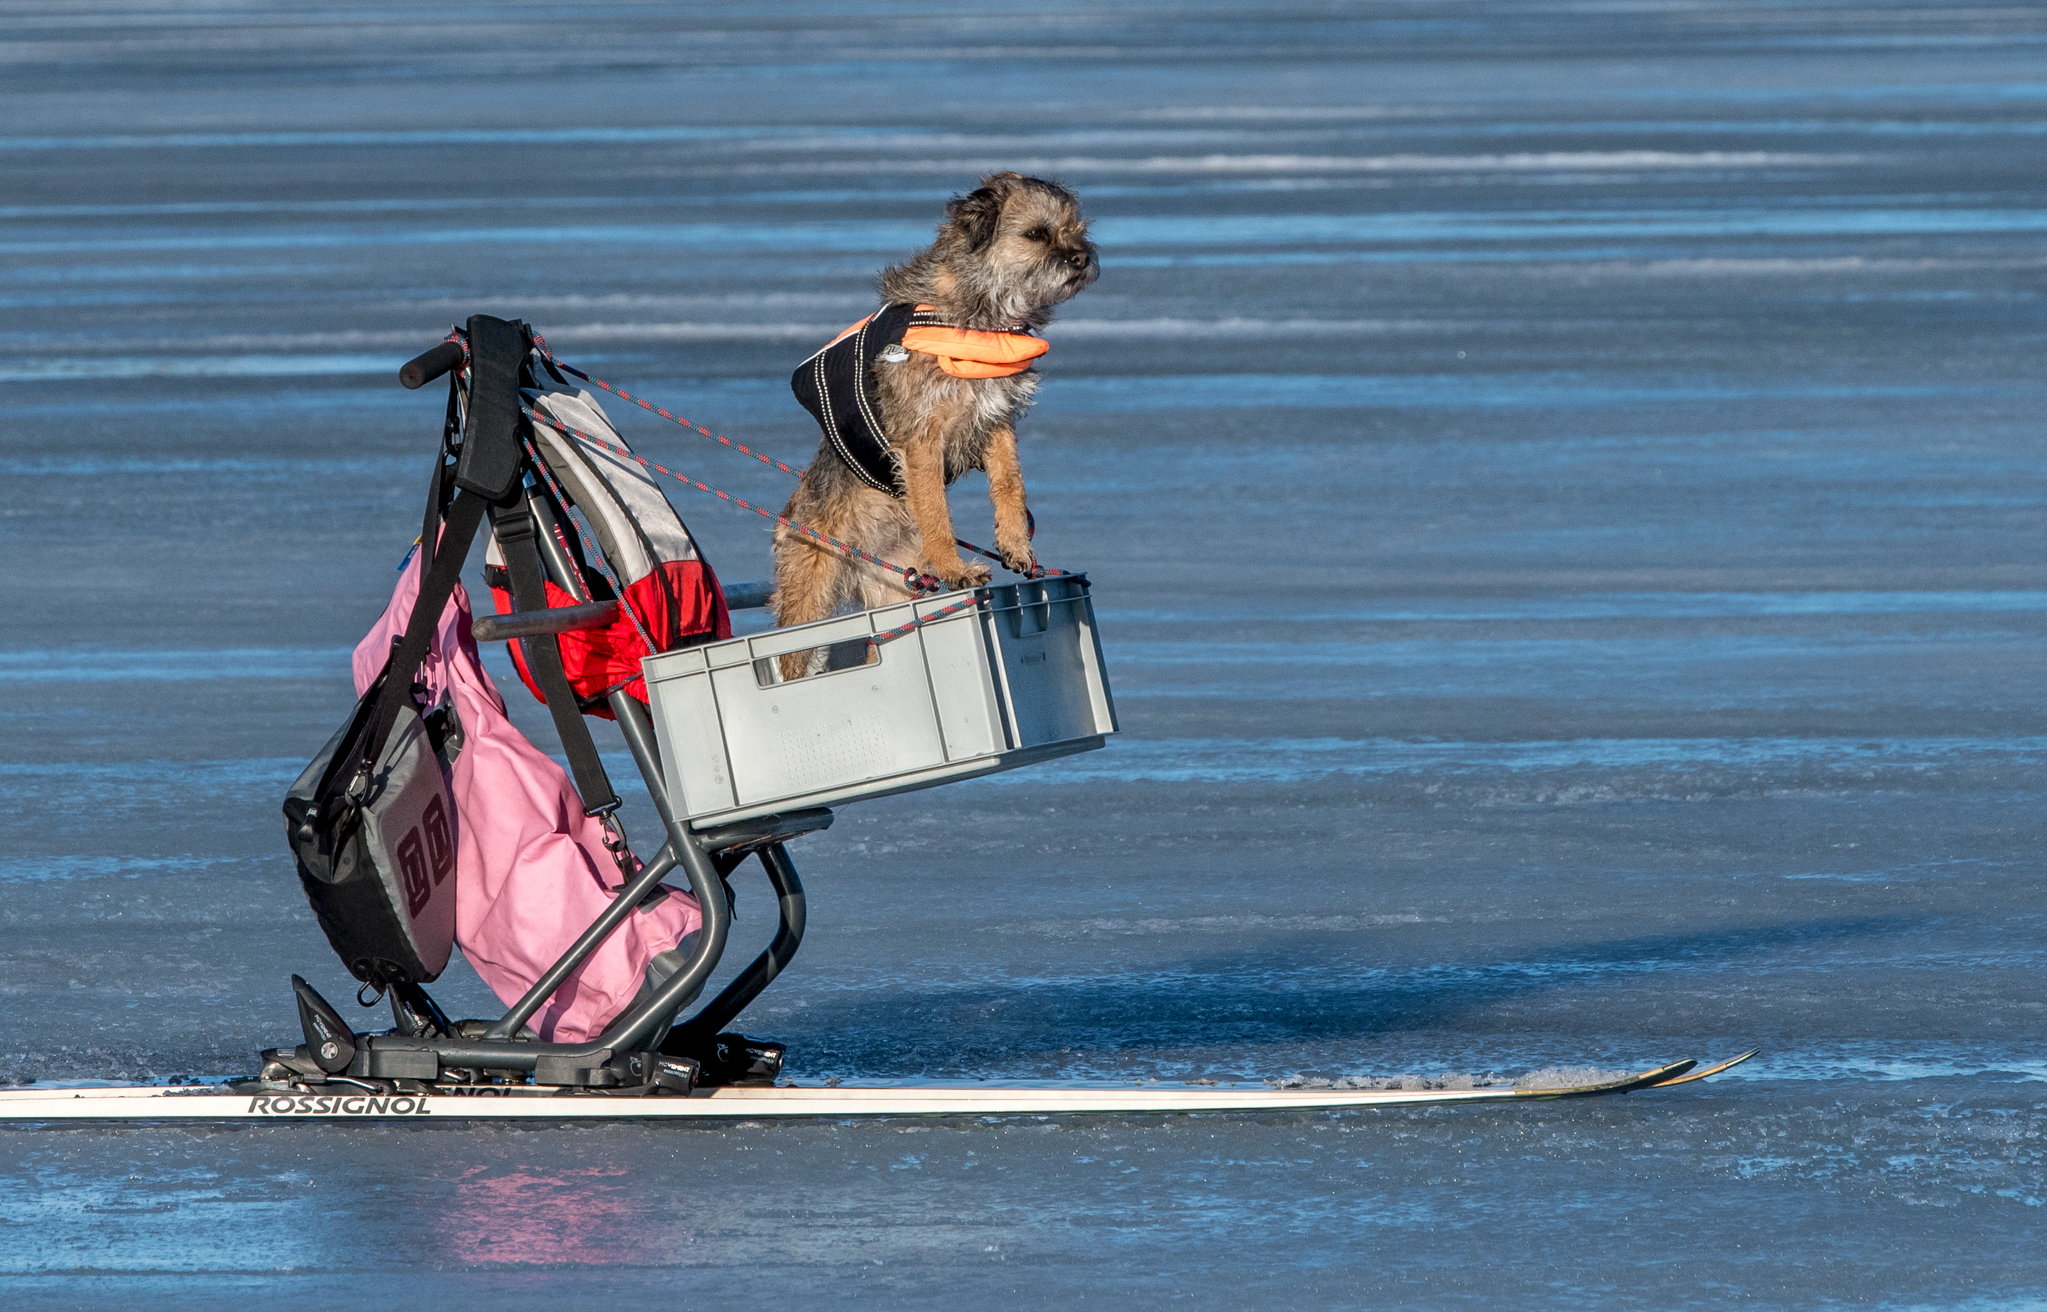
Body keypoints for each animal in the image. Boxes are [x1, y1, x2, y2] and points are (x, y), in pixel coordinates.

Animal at [769, 171, 1097, 675]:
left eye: (1077, 229)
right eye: (1037, 233)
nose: (1083, 256)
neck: (979, 312)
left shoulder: (996, 418)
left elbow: (1009, 484)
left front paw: (1016, 545)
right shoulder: (922, 437)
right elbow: (934, 508)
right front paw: (956, 568)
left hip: (894, 589)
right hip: (809, 591)